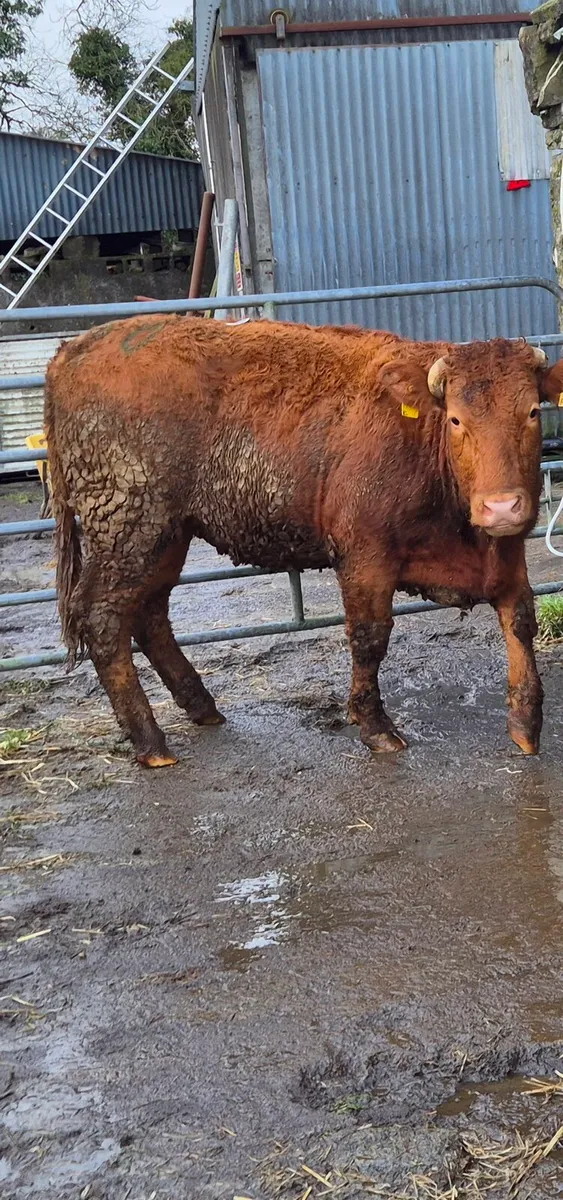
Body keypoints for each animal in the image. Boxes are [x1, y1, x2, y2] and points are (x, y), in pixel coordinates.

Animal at [44, 316, 553, 767]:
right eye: (455, 420)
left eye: (532, 411)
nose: (501, 506)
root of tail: (75, 348)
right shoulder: (363, 556)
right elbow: (370, 638)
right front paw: (376, 728)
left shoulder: (507, 552)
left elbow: (521, 621)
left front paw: (527, 726)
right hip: (128, 527)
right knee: (104, 617)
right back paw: (151, 742)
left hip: (166, 535)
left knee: (150, 614)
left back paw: (201, 706)